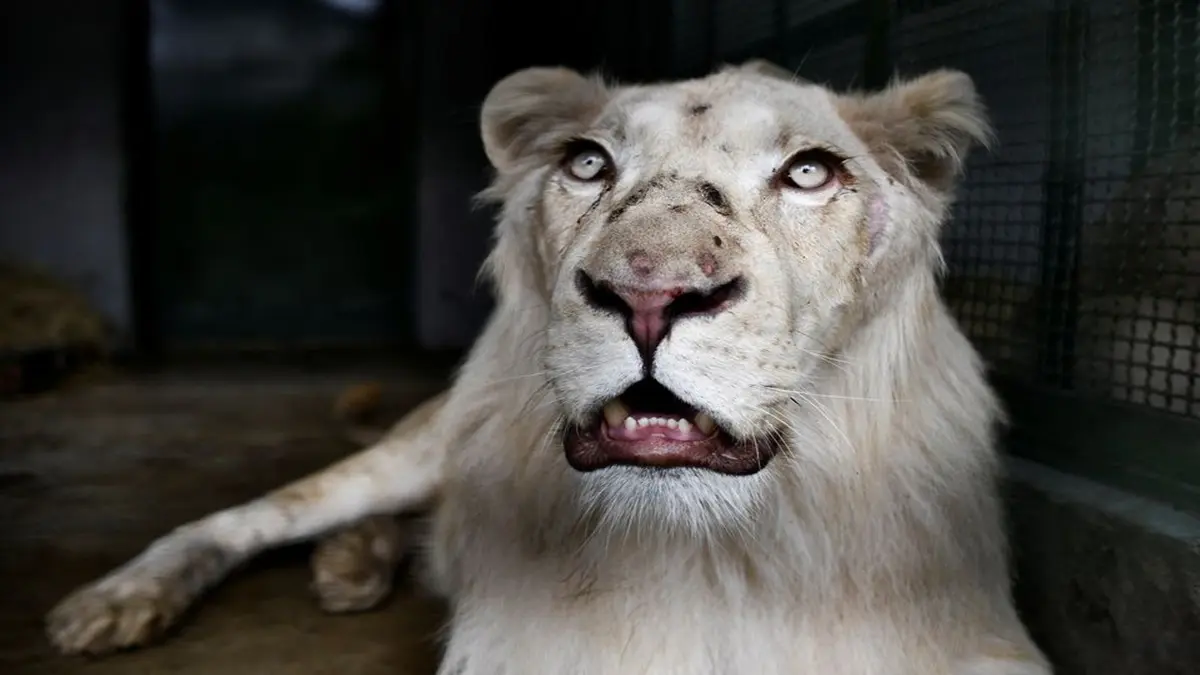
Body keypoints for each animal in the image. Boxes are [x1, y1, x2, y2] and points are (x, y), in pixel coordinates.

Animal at [44, 60, 1051, 667]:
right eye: (588, 164)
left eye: (809, 172)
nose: (649, 293)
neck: (708, 553)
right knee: (257, 514)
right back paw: (123, 597)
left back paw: (352, 563)